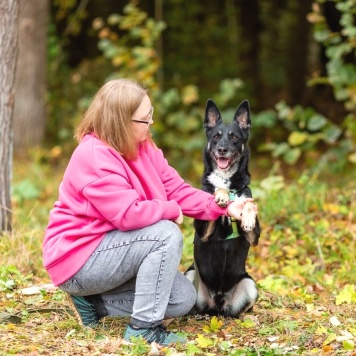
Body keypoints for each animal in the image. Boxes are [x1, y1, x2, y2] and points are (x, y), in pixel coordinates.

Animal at [185, 98, 260, 318]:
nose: (222, 150)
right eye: (216, 136)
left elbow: (249, 204)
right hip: (190, 274)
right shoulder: (203, 231)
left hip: (249, 284)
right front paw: (220, 195)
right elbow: (217, 192)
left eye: (234, 137)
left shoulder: (254, 237)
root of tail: (216, 303)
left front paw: (248, 218)